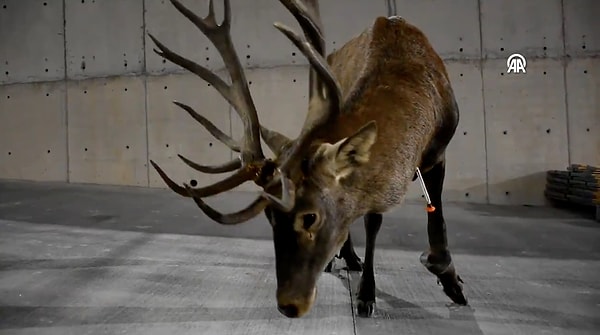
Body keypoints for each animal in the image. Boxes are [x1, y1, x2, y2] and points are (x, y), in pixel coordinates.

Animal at [149, 0, 468, 320]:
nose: (288, 304)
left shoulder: (439, 149)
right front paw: (366, 292)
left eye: (310, 217)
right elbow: (373, 217)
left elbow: (429, 216)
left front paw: (450, 282)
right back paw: (346, 258)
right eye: (269, 215)